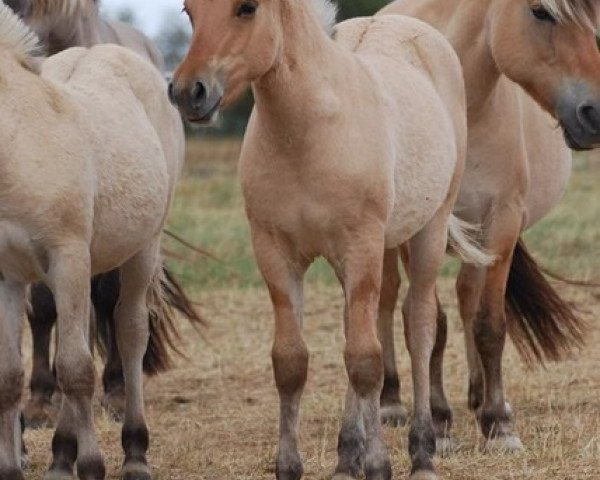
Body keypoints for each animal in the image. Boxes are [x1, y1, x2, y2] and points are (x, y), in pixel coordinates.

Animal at [0, 2, 184, 476]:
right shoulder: (9, 275)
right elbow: (10, 375)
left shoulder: (67, 258)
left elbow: (76, 369)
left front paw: (93, 465)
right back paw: (62, 455)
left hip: (141, 250)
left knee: (130, 330)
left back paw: (134, 452)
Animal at [170, 0, 492, 480]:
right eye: (189, 11)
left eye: (246, 8)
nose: (188, 92)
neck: (311, 131)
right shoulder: (276, 254)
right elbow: (292, 363)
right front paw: (292, 466)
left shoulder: (361, 249)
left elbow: (365, 362)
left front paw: (378, 464)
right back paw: (346, 457)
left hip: (427, 234)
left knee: (417, 327)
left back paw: (422, 452)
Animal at [378, 0, 596, 454]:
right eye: (540, 12)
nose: (596, 114)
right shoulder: (424, 227)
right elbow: (428, 320)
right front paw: (438, 420)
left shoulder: (501, 222)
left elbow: (488, 322)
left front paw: (498, 423)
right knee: (387, 298)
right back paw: (390, 401)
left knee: (466, 294)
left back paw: (479, 395)